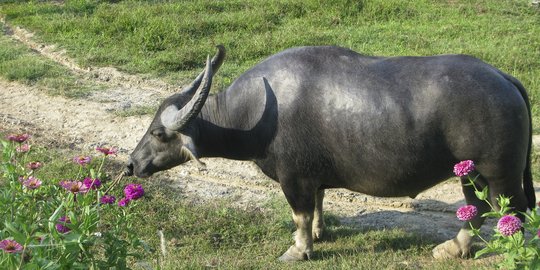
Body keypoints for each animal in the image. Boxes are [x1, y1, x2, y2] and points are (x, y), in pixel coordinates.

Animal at [127, 45, 536, 260]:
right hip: (469, 172)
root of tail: (504, 79)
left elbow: (300, 215)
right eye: (150, 127)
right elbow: (319, 205)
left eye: (159, 133)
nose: (132, 163)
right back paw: (454, 248)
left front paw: (299, 249)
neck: (256, 113)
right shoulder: (313, 178)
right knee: (479, 208)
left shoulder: (293, 179)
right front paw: (320, 233)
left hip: (494, 172)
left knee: (506, 211)